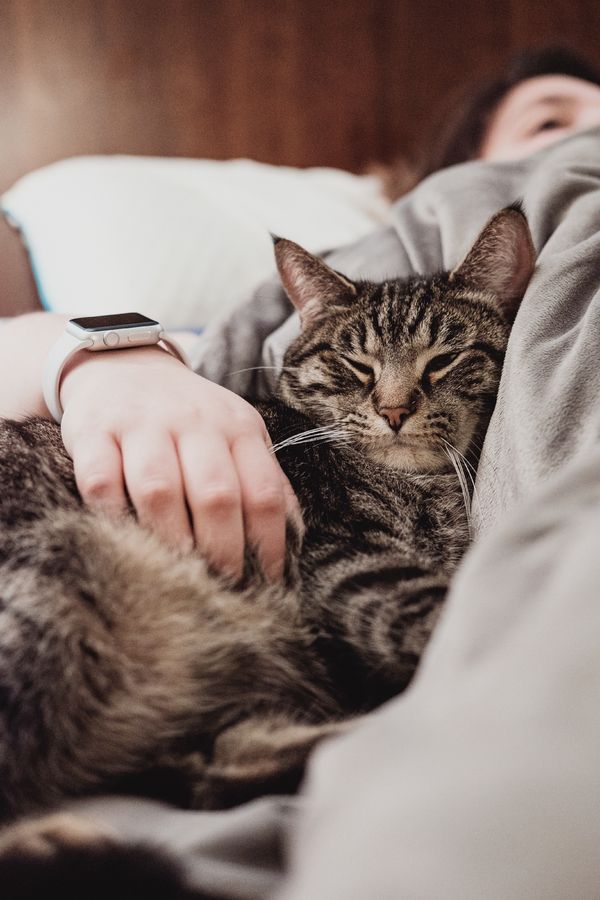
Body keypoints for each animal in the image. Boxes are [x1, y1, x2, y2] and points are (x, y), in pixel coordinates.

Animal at [0, 206, 536, 892]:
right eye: (355, 365)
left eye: (444, 359)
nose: (393, 410)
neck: (423, 488)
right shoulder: (346, 561)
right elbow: (441, 610)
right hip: (50, 578)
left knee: (214, 768)